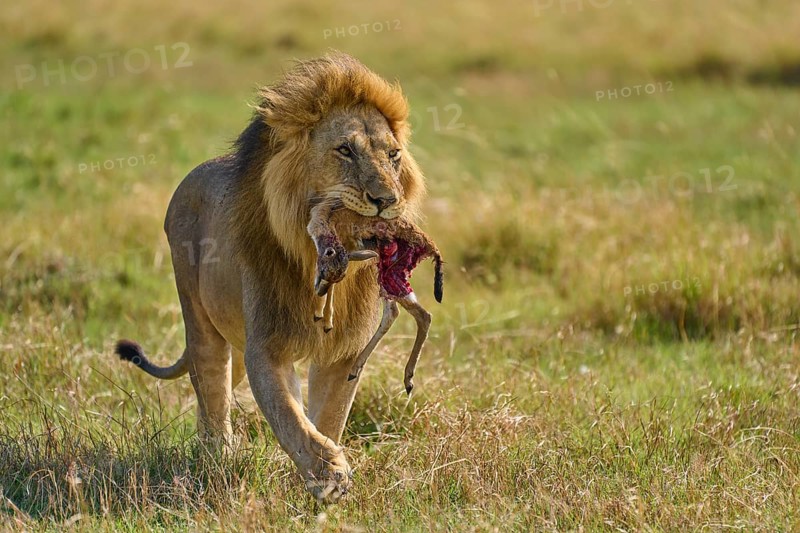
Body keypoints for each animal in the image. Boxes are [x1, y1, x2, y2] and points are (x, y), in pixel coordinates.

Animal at [114, 53, 426, 503]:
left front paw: (323, 473)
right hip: (201, 322)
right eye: (345, 150)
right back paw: (218, 458)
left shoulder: (344, 353)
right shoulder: (266, 348)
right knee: (212, 392)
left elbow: (327, 416)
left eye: (394, 155)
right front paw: (329, 473)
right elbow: (288, 416)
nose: (387, 200)